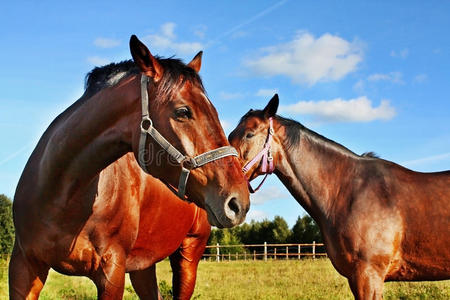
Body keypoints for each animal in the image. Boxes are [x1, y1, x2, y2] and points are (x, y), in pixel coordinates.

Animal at [9, 35, 250, 300]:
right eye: (183, 111)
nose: (238, 203)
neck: (61, 195)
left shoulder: (112, 271)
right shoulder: (23, 266)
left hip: (189, 254)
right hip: (143, 266)